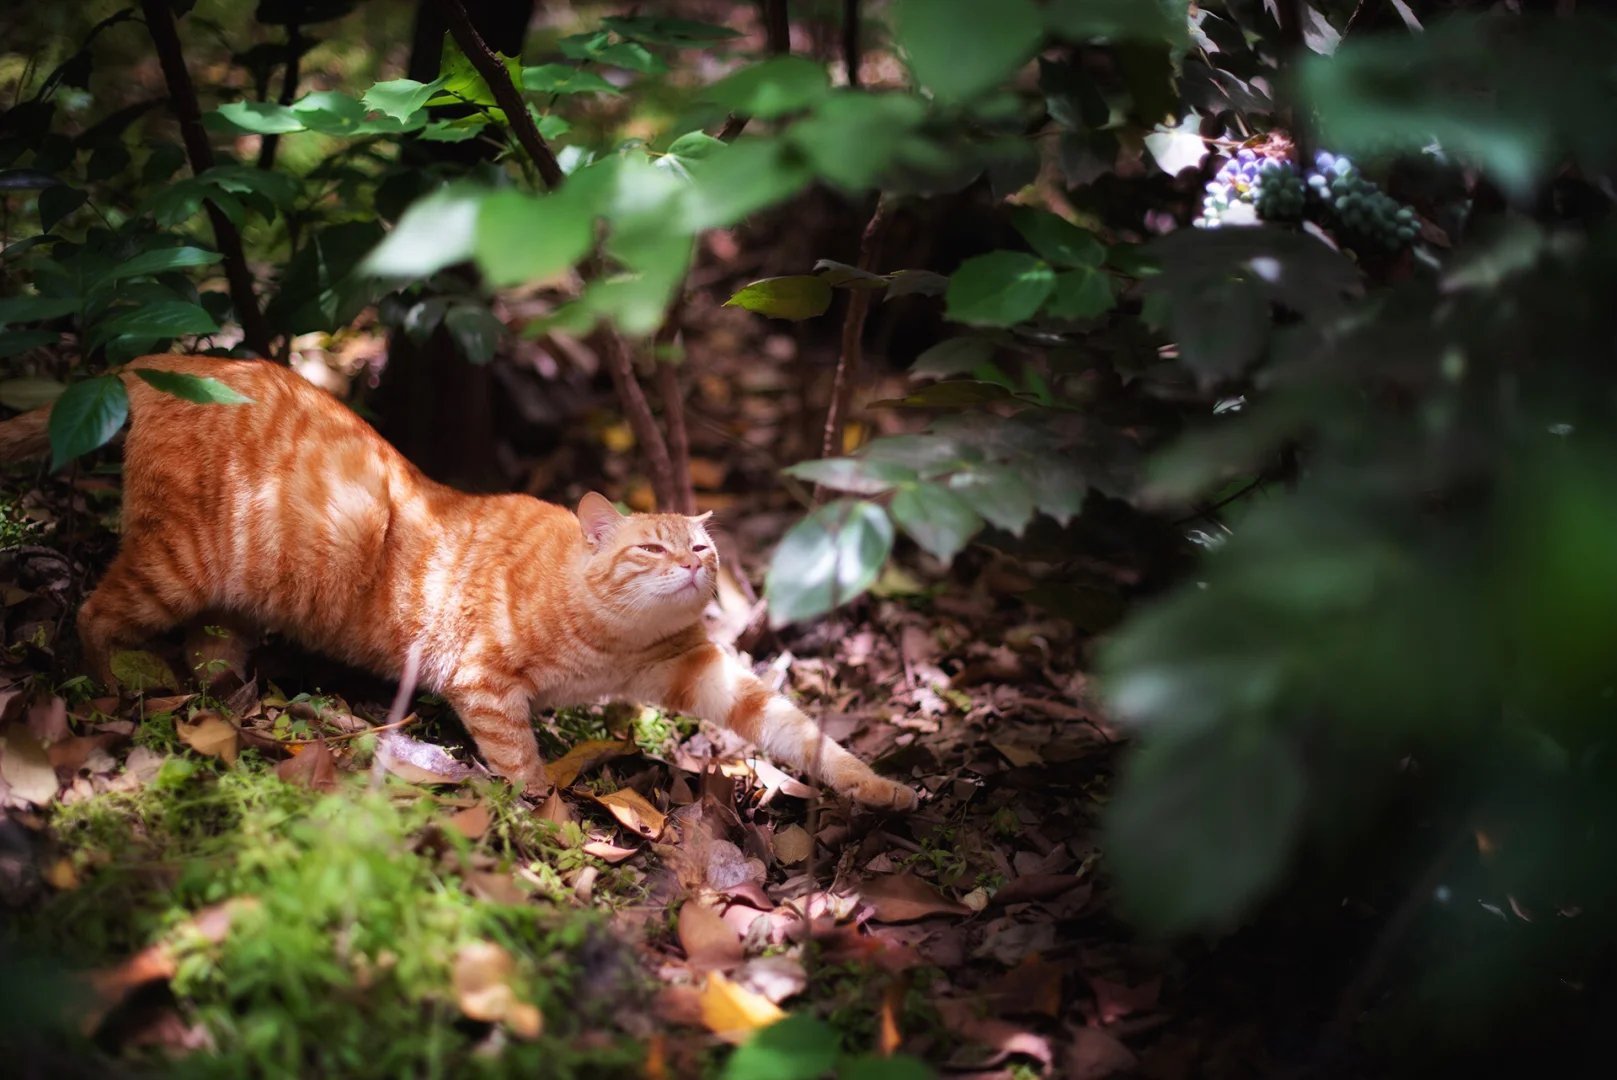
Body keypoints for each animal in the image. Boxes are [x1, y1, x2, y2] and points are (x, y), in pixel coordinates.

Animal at [0, 355, 918, 808]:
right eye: (653, 551)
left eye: (702, 549)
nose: (695, 564)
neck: (612, 643)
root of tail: (157, 355)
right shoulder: (480, 680)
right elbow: (519, 757)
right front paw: (545, 811)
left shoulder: (702, 669)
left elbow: (797, 730)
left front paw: (876, 786)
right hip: (175, 565)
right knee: (92, 614)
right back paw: (109, 691)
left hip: (223, 605)